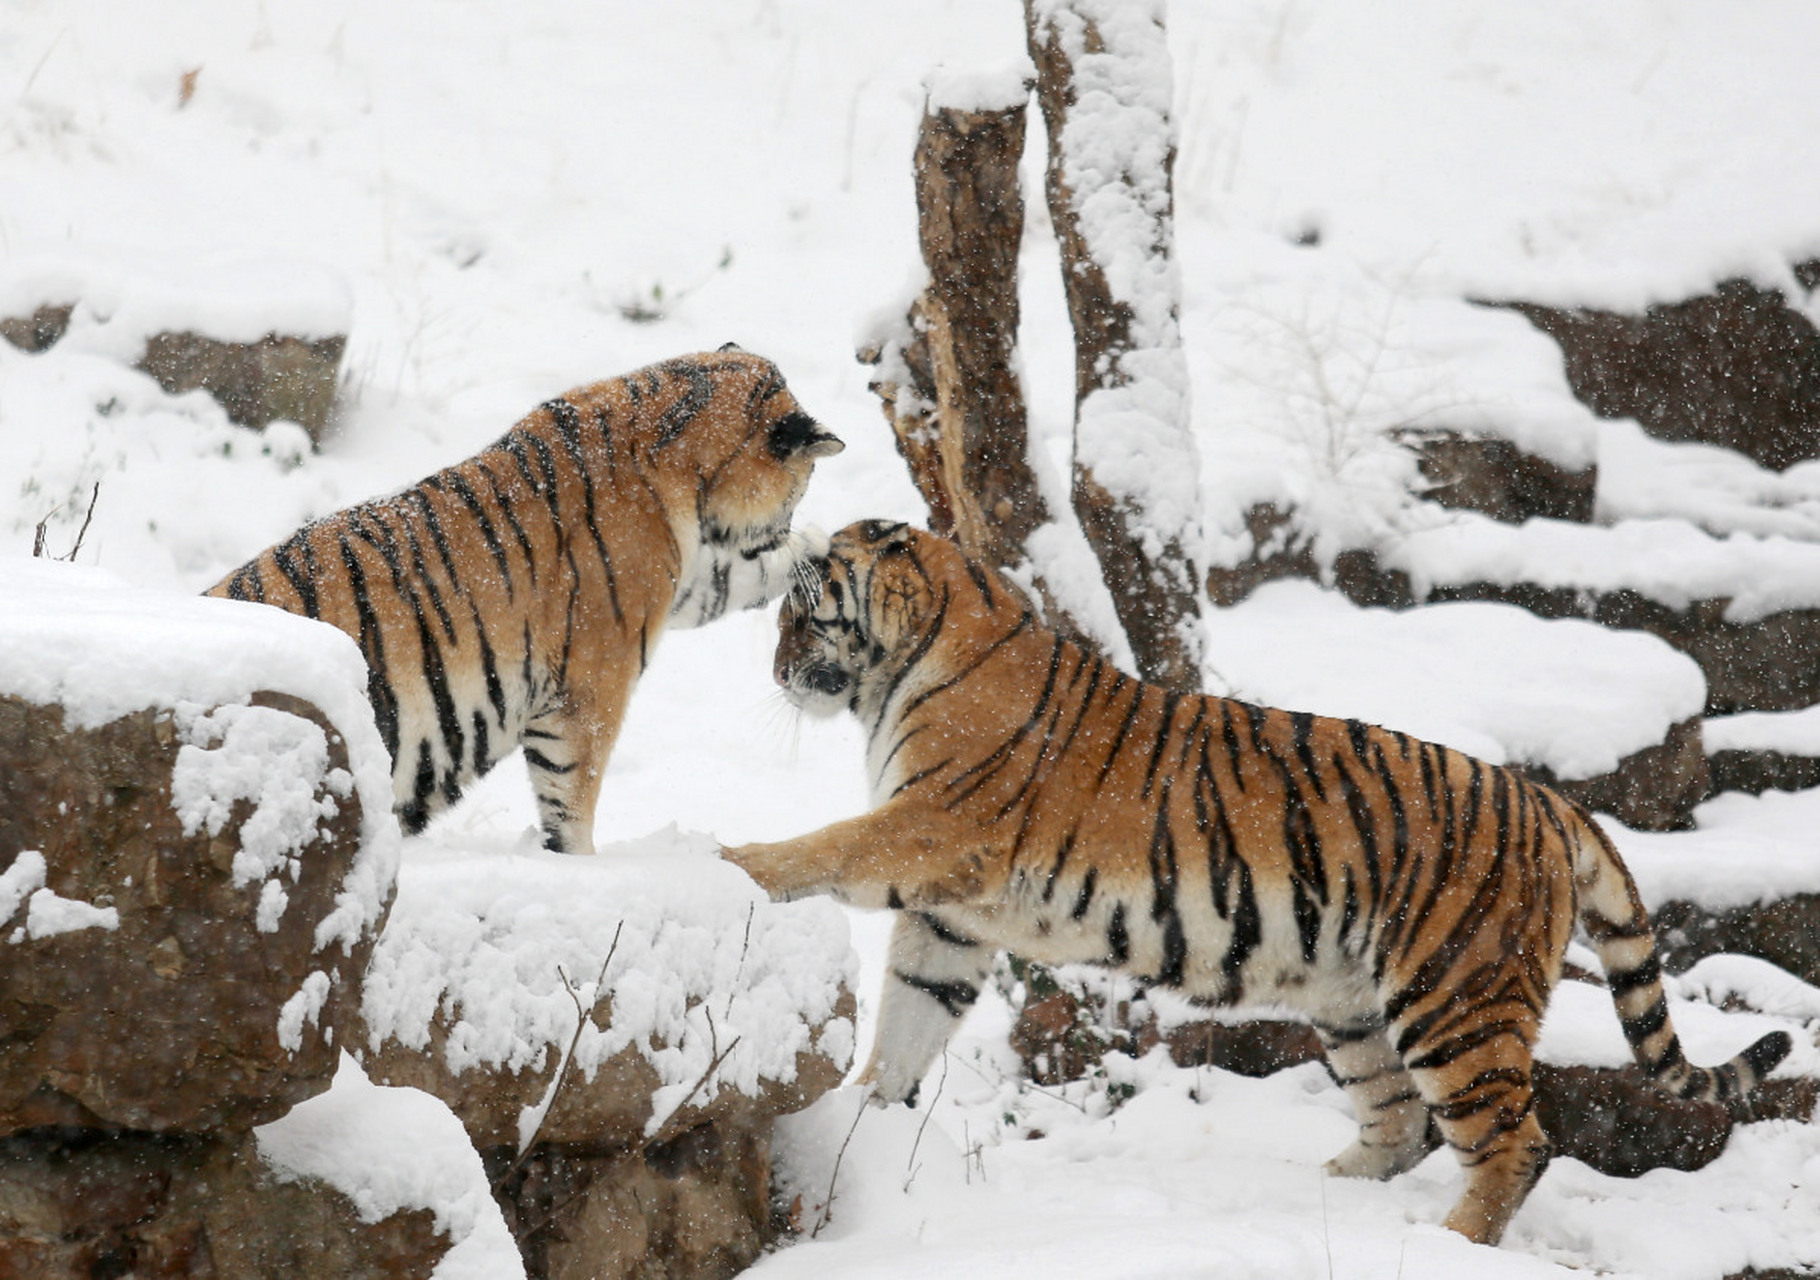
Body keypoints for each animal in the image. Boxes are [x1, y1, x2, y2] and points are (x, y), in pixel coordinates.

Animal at [208, 347, 842, 854]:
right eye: (803, 482)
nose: (791, 524)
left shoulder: (682, 582)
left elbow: (731, 580)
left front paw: (818, 547)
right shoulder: (591, 686)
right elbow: (572, 798)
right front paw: (581, 864)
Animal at [722, 519, 1792, 1246]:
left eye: (800, 612)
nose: (772, 674)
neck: (903, 665)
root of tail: (1549, 801)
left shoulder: (932, 828)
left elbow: (823, 847)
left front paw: (733, 862)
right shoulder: (950, 915)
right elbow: (908, 1022)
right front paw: (865, 1127)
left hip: (1456, 997)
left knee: (1512, 1144)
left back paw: (1446, 1246)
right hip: (1355, 1004)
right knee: (1399, 1123)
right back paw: (1319, 1196)